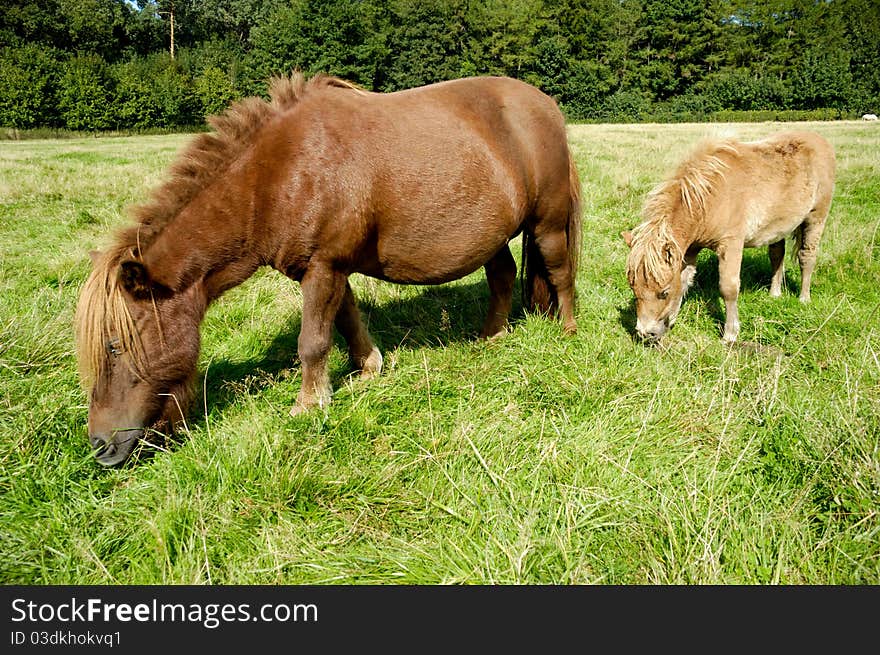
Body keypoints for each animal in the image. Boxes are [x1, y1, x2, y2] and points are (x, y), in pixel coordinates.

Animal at [75, 72, 580, 466]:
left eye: (115, 346)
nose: (100, 446)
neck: (277, 175)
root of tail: (545, 104)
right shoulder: (327, 269)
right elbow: (347, 320)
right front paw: (368, 368)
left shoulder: (323, 266)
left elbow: (313, 342)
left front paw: (308, 405)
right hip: (493, 235)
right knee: (502, 277)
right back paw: (492, 336)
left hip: (548, 223)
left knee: (560, 273)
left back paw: (568, 331)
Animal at [624, 129, 836, 344]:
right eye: (634, 289)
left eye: (663, 292)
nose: (646, 334)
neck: (708, 198)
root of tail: (820, 141)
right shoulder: (689, 249)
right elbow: (683, 282)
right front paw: (672, 319)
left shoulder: (731, 244)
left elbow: (729, 288)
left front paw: (730, 334)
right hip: (778, 227)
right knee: (777, 255)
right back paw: (774, 294)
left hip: (816, 218)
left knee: (807, 256)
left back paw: (804, 298)